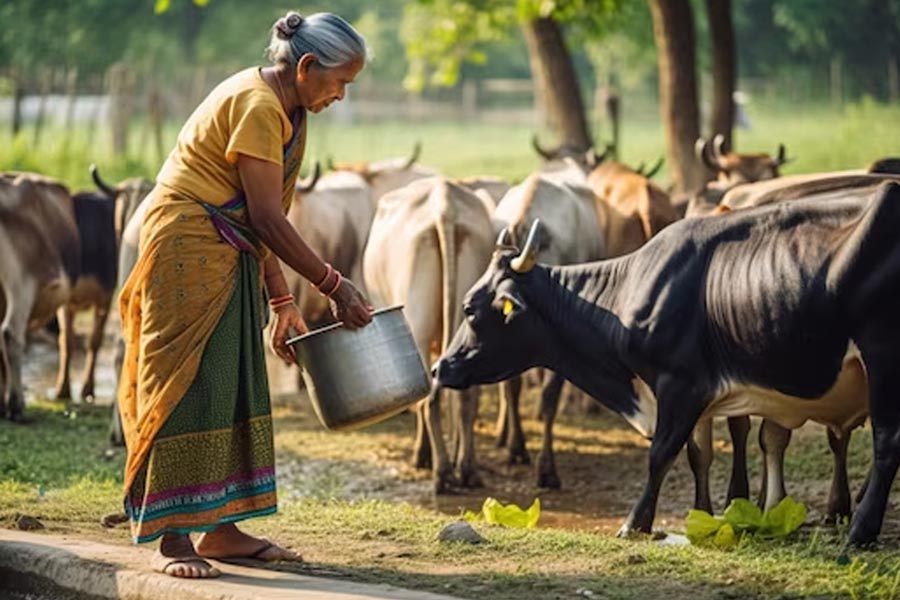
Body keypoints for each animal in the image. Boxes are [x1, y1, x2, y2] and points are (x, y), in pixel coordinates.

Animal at [363, 176, 495, 491]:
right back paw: (467, 468)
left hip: (417, 327)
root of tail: (443, 205)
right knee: (465, 396)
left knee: (428, 397)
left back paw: (442, 471)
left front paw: (423, 454)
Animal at [437, 181, 900, 546]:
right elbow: (696, 455)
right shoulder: (700, 397)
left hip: (882, 353)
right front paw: (703, 516)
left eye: (470, 309)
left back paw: (861, 529)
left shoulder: (681, 384)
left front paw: (635, 523)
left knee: (887, 441)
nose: (441, 367)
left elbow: (660, 453)